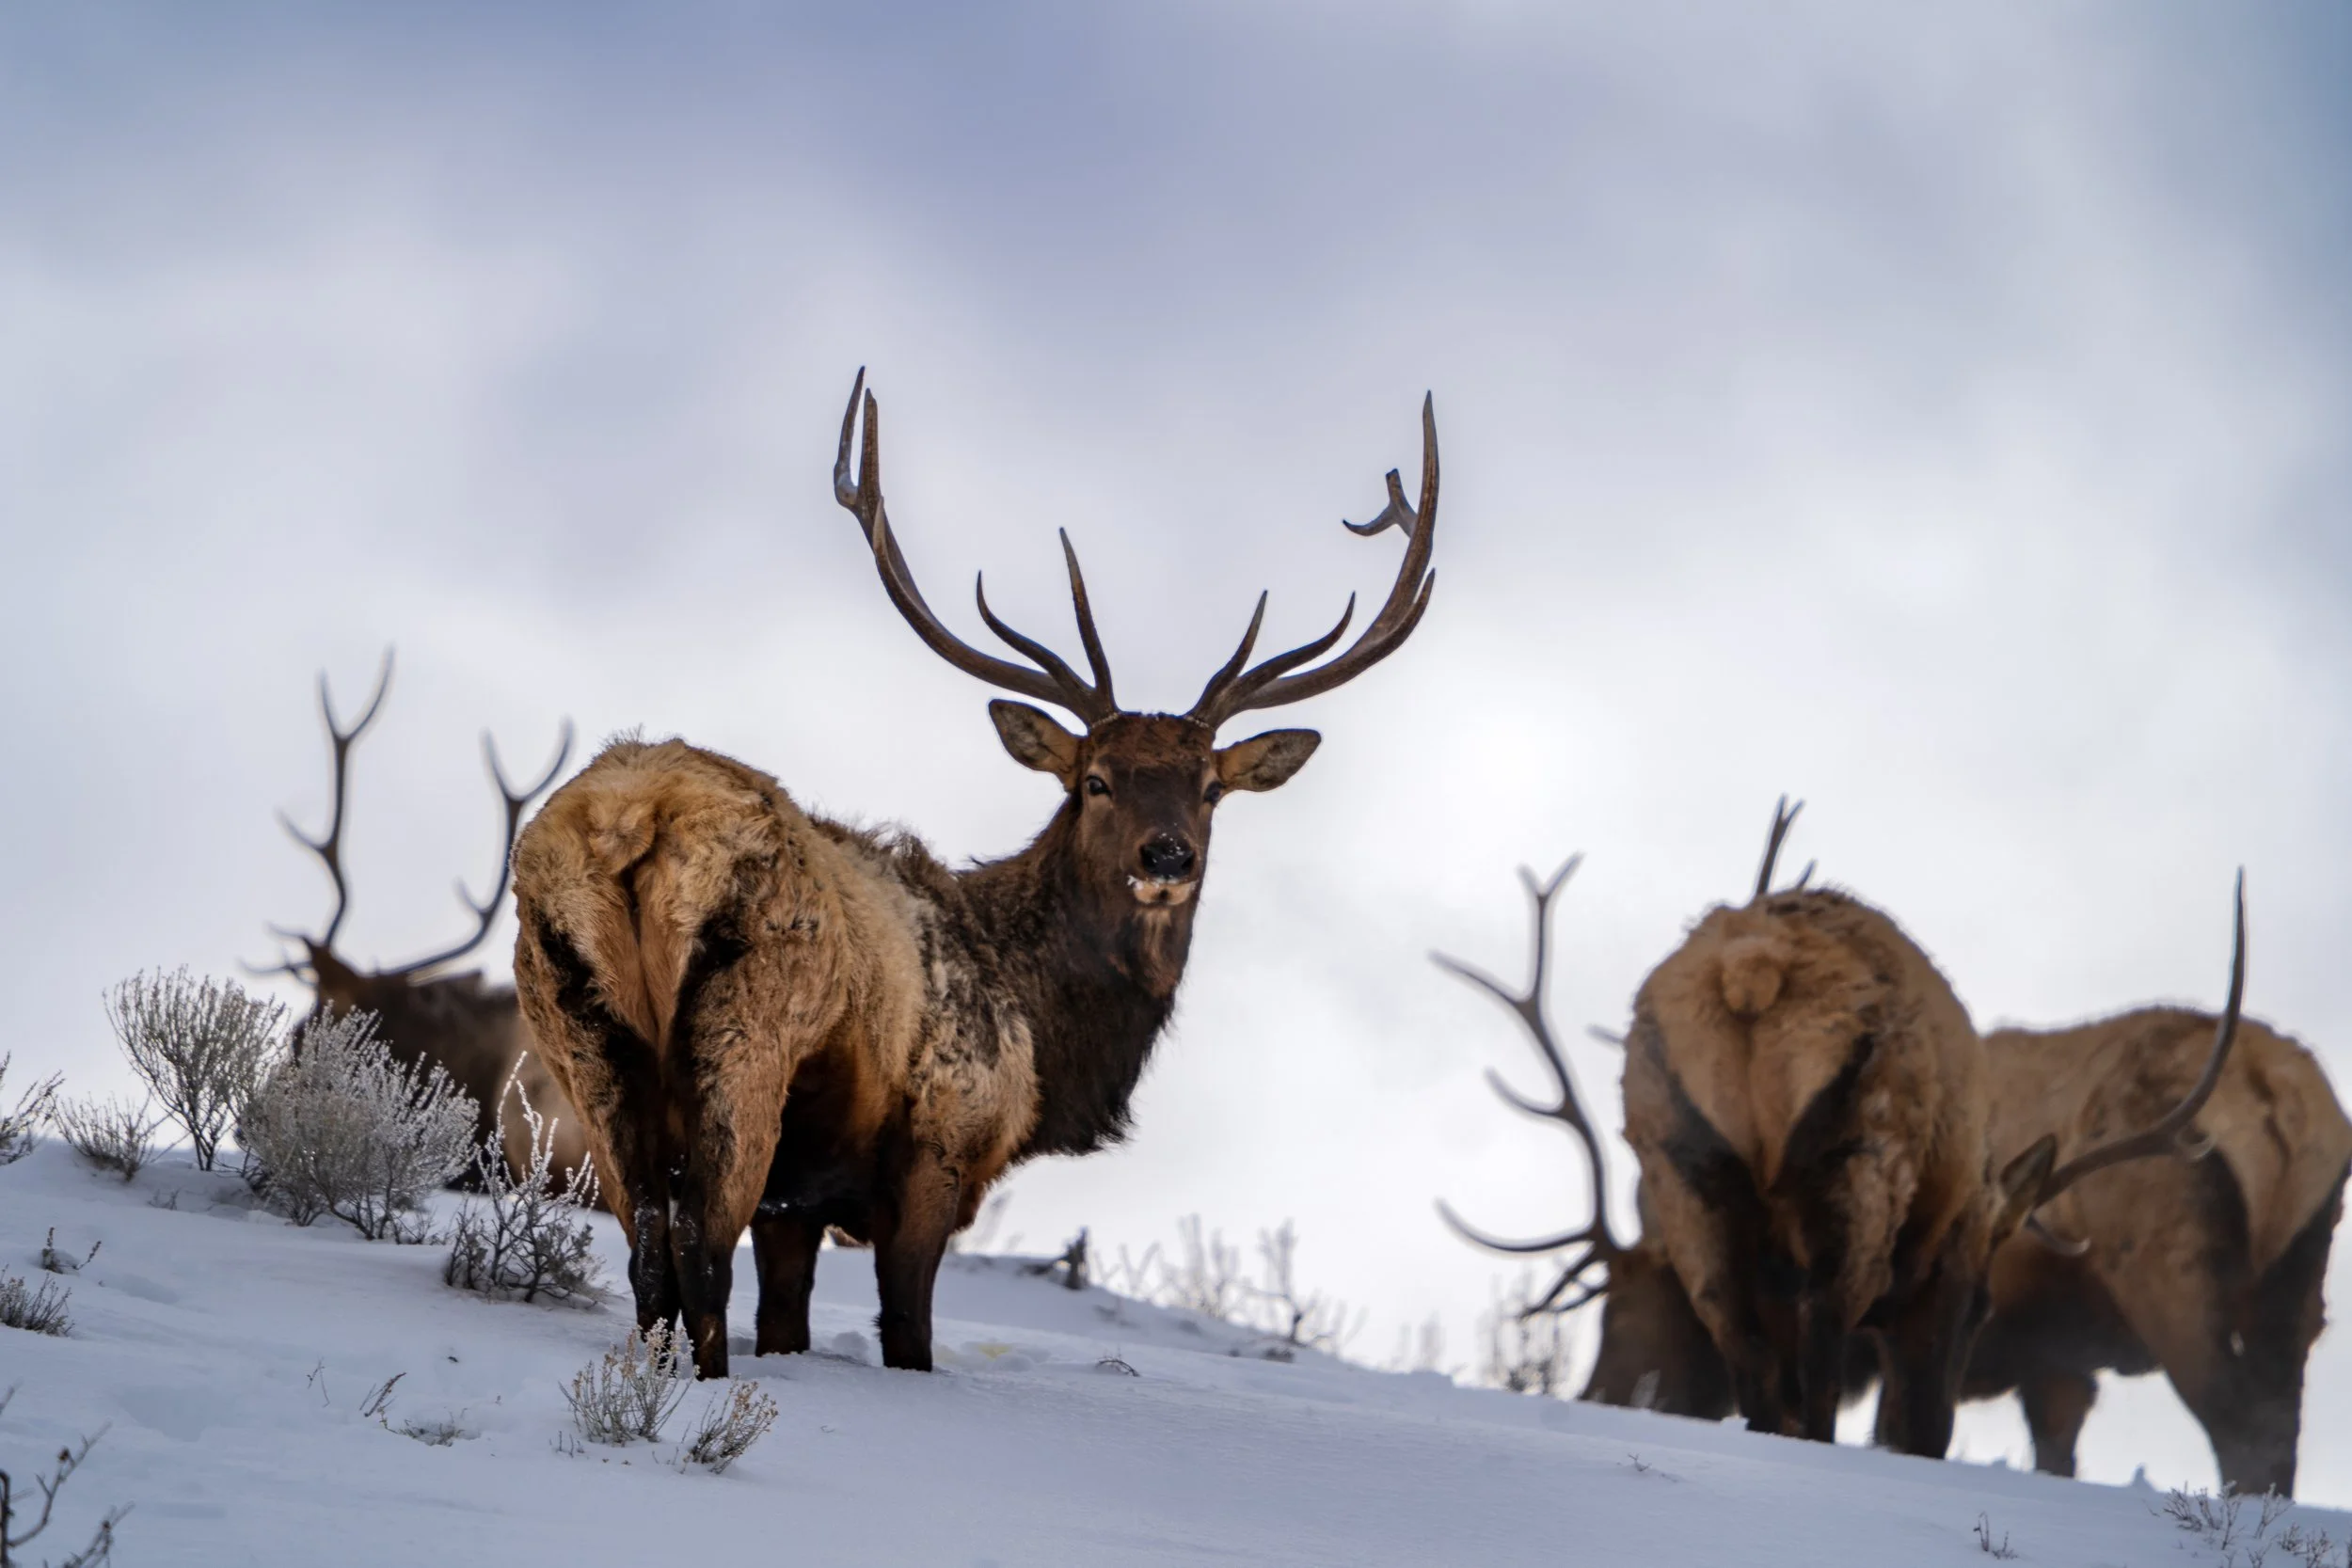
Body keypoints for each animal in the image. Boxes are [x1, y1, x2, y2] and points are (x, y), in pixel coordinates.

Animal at [510, 370, 1440, 1377]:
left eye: (1210, 789)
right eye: (1095, 781)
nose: (1166, 855)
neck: (1044, 1027)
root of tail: (634, 821)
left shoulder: (798, 1201)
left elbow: (788, 1320)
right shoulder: (942, 1142)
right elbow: (907, 1331)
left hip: (582, 1041)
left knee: (648, 1249)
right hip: (747, 1032)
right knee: (697, 1247)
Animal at [1438, 802, 2246, 1460]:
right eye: (1980, 1306)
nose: (1932, 1437)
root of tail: (1752, 970)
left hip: (1679, 1158)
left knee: (1743, 1339)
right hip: (1857, 1151)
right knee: (1825, 1331)